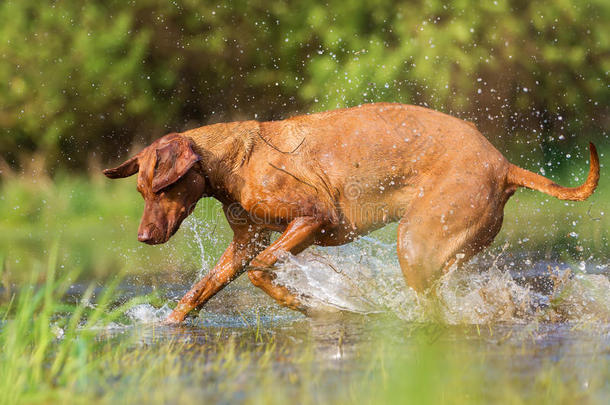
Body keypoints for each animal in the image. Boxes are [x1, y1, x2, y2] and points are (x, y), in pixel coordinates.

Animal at [104, 102, 600, 324]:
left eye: (163, 188)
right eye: (140, 190)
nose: (143, 238)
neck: (232, 161)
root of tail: (504, 164)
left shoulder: (313, 218)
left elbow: (263, 271)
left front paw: (305, 303)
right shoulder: (246, 241)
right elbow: (200, 290)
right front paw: (165, 326)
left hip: (415, 242)